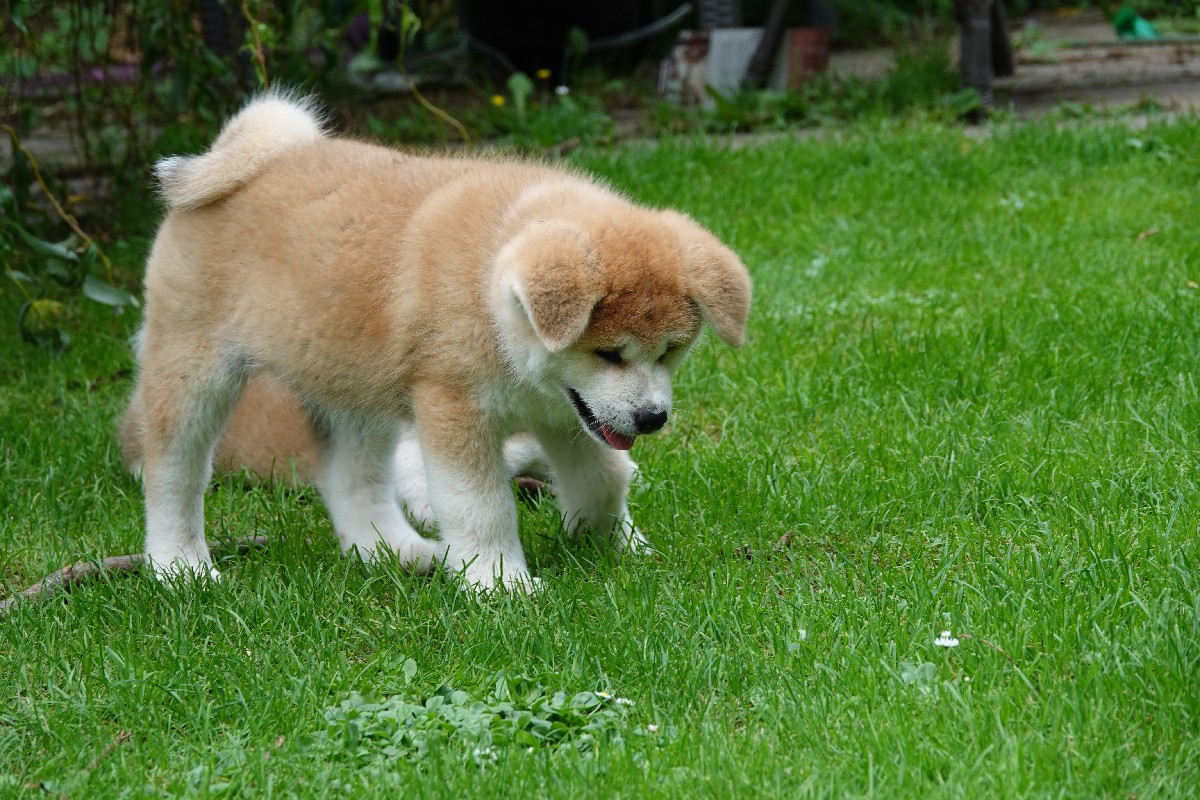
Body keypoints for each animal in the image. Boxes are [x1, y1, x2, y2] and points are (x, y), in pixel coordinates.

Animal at [127, 92, 750, 590]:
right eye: (609, 354)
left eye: (670, 351)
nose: (652, 418)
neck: (488, 294)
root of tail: (250, 161)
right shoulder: (455, 408)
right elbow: (481, 507)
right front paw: (500, 584)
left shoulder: (564, 414)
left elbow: (604, 479)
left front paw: (609, 544)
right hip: (194, 372)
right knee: (173, 472)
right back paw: (179, 567)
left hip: (356, 387)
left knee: (350, 482)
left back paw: (393, 553)